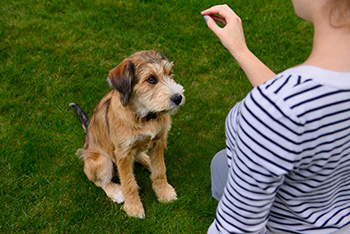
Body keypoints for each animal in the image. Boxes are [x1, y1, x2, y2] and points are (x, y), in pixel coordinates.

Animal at [70, 50, 186, 218]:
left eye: (170, 73)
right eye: (151, 79)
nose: (178, 98)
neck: (144, 117)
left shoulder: (158, 141)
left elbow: (160, 170)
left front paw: (164, 192)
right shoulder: (123, 153)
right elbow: (128, 182)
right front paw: (133, 207)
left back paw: (148, 161)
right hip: (102, 160)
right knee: (98, 180)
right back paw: (116, 191)